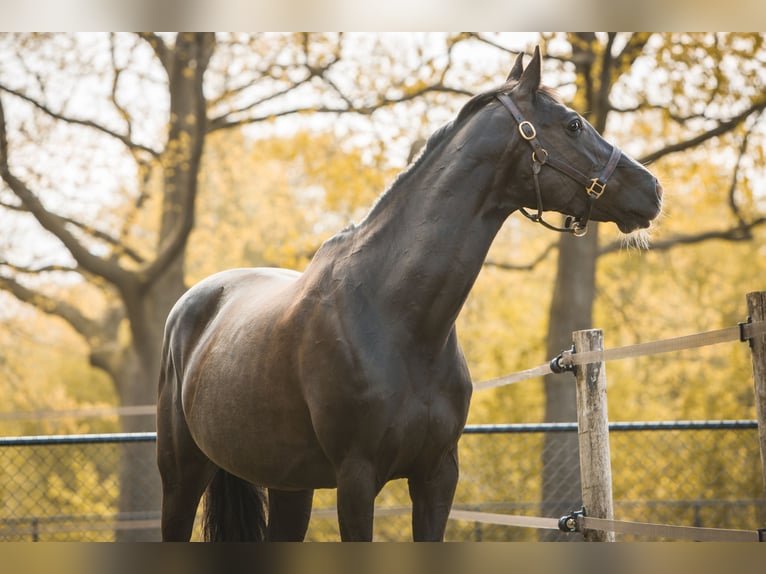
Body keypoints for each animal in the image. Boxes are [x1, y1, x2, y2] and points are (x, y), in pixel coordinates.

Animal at [158, 46, 664, 544]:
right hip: (182, 476)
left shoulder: (437, 476)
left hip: (290, 484)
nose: (653, 188)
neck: (397, 320)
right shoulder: (356, 480)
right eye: (574, 124)